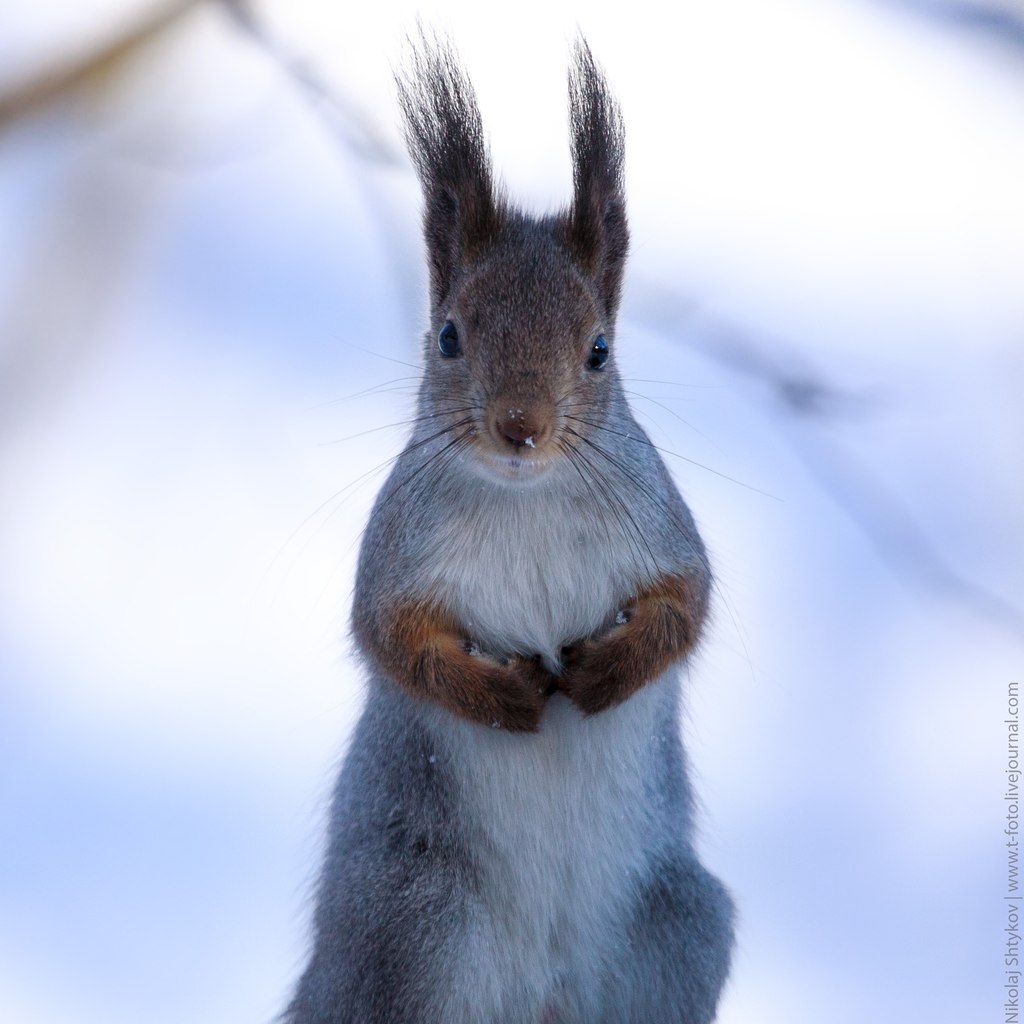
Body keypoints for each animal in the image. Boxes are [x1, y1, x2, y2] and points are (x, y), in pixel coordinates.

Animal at [286, 32, 737, 1024]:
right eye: (448, 336)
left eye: (600, 349)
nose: (520, 427)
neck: (527, 499)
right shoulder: (397, 551)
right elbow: (390, 640)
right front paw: (504, 698)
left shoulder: (661, 525)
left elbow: (686, 605)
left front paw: (608, 674)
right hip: (420, 932)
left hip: (680, 927)